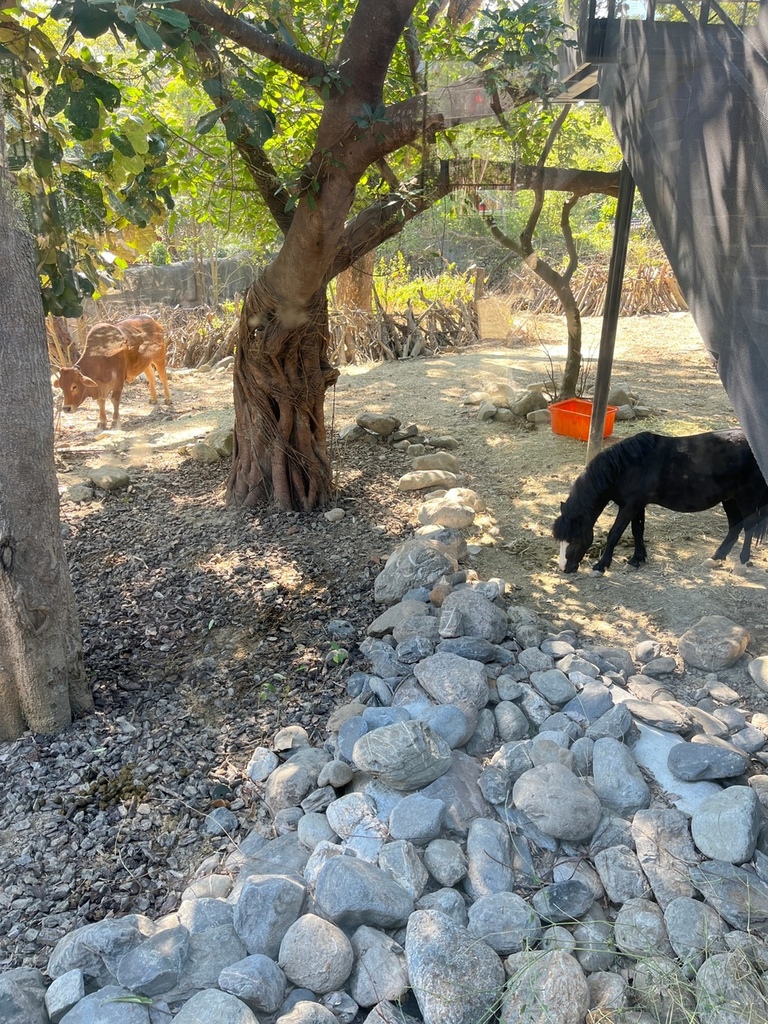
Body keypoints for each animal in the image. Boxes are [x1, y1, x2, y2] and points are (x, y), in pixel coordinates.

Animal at [552, 430, 768, 577]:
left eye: (575, 539)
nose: (564, 568)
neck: (628, 466)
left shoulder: (629, 506)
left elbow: (614, 534)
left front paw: (600, 566)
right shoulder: (637, 506)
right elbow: (637, 531)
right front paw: (636, 560)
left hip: (745, 497)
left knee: (748, 527)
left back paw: (741, 564)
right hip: (729, 499)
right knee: (735, 526)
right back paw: (715, 559)